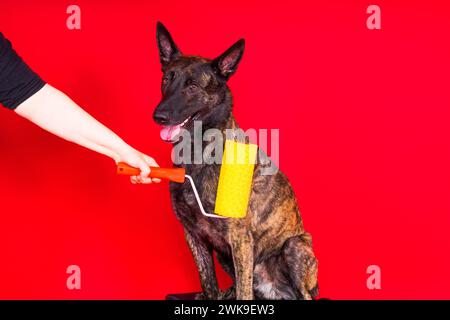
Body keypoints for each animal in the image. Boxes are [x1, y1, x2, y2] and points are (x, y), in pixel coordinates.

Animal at [153, 22, 318, 300]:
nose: (159, 116)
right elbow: (208, 284)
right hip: (224, 256)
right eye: (167, 79)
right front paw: (209, 293)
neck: (198, 153)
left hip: (295, 245)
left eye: (193, 86)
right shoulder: (194, 236)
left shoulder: (240, 238)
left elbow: (243, 291)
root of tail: (276, 292)